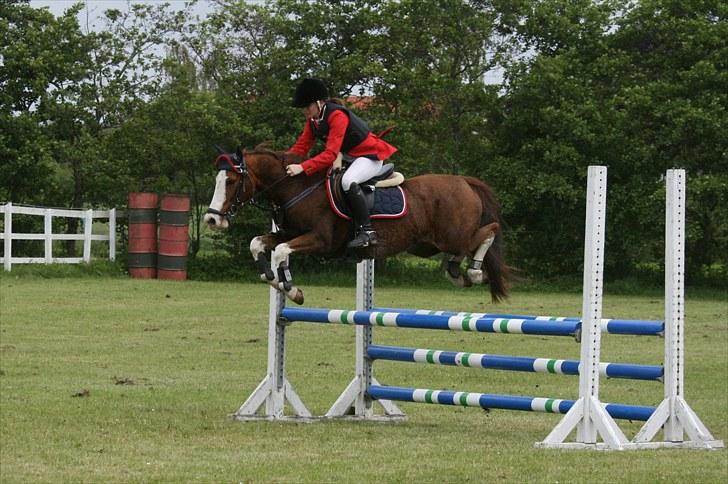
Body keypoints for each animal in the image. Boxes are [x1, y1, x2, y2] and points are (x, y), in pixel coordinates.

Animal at [203, 148, 512, 306]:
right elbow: (258, 243)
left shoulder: (321, 241)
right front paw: (275, 279)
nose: (211, 219)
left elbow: (279, 251)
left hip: (452, 236)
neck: (298, 188)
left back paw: (474, 272)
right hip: (427, 245)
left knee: (488, 231)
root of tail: (463, 181)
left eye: (231, 181)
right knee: (463, 249)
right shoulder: (290, 233)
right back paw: (458, 273)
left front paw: (290, 288)